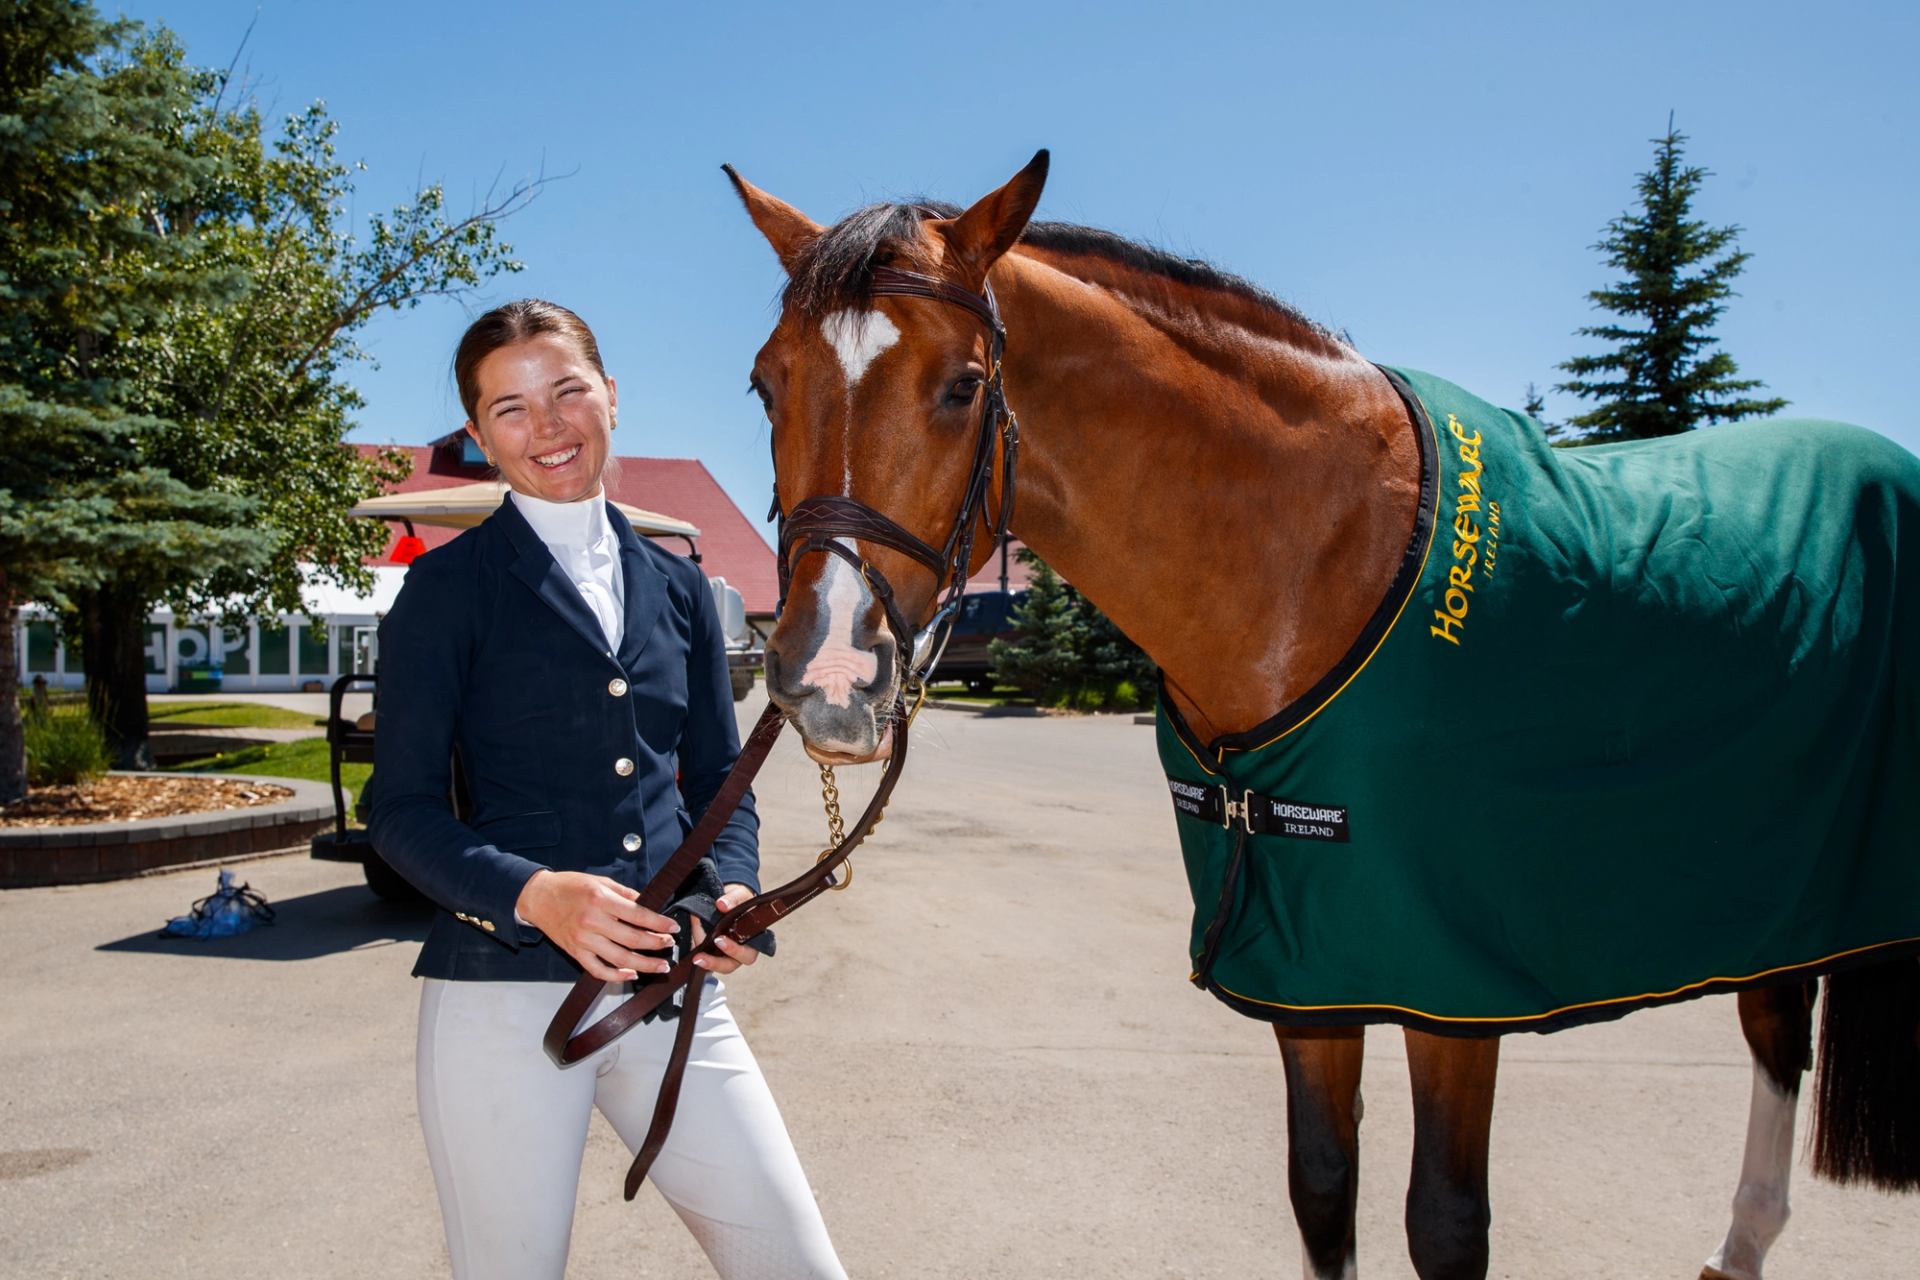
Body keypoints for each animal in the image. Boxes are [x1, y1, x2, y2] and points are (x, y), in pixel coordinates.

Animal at [720, 150, 1920, 1279]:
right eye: (767, 385)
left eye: (965, 386)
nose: (826, 674)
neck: (1317, 562)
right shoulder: (1309, 964)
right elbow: (1322, 1188)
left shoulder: (1446, 983)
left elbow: (1446, 1224)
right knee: (1775, 1029)